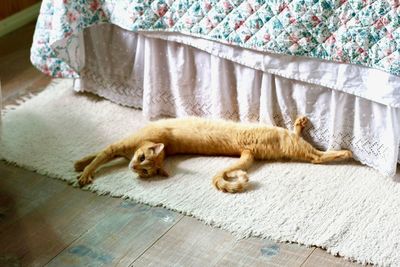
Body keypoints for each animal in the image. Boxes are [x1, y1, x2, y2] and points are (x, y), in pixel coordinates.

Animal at [76, 116, 354, 194]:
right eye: (144, 171)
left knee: (315, 155)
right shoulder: (117, 149)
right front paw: (80, 165)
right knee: (313, 153)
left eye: (144, 164)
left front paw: (83, 168)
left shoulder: (119, 147)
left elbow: (99, 155)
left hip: (287, 140)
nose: (135, 168)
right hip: (288, 141)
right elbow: (96, 155)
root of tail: (247, 150)